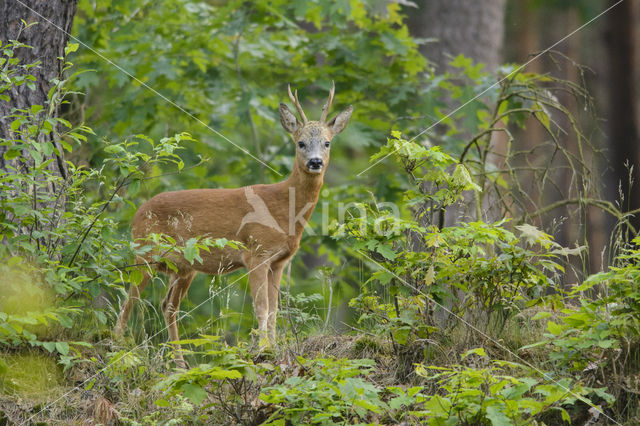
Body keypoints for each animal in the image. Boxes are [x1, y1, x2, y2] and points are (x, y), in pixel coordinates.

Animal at [115, 83, 356, 366]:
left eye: (327, 142)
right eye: (301, 143)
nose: (315, 162)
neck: (283, 208)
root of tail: (137, 214)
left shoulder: (279, 261)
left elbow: (274, 309)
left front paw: (274, 348)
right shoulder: (256, 252)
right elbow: (261, 307)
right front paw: (263, 350)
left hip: (183, 268)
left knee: (168, 306)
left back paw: (180, 365)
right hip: (145, 254)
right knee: (128, 302)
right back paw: (116, 350)